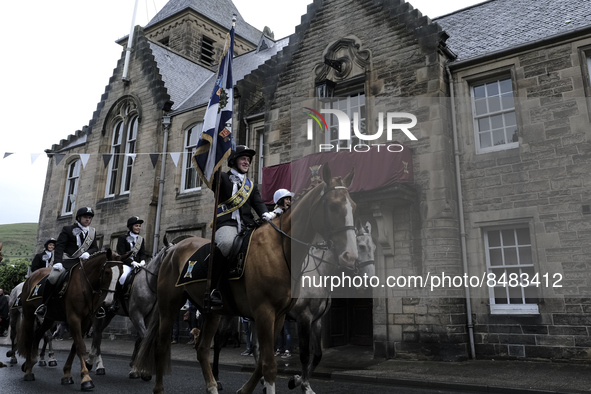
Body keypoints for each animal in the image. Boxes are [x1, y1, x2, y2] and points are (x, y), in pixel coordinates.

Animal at [16, 249, 128, 390]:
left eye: (121, 274)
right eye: (107, 272)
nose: (109, 303)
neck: (85, 285)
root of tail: (31, 276)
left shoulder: (87, 321)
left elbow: (75, 347)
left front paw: (67, 375)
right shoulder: (74, 318)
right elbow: (80, 346)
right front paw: (86, 379)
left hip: (49, 318)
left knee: (38, 335)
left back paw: (31, 363)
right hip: (29, 314)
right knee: (30, 338)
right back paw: (28, 371)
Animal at [85, 242, 176, 380]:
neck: (149, 283)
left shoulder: (147, 318)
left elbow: (140, 340)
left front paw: (135, 368)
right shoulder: (136, 315)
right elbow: (144, 338)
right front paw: (143, 370)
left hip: (109, 314)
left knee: (98, 333)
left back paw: (94, 363)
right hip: (99, 313)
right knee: (96, 333)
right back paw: (95, 364)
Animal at [135, 163, 358, 394]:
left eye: (354, 207)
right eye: (333, 206)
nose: (350, 257)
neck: (280, 250)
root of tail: (174, 248)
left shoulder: (283, 316)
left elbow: (267, 361)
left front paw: (251, 388)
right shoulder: (272, 313)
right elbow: (273, 363)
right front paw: (291, 383)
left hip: (213, 313)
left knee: (203, 348)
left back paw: (213, 385)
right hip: (170, 305)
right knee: (162, 345)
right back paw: (161, 388)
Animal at [288, 220, 376, 392]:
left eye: (374, 247)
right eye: (362, 246)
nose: (372, 280)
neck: (318, 273)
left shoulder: (316, 320)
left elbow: (317, 355)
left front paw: (300, 382)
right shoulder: (303, 318)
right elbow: (304, 355)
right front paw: (302, 384)